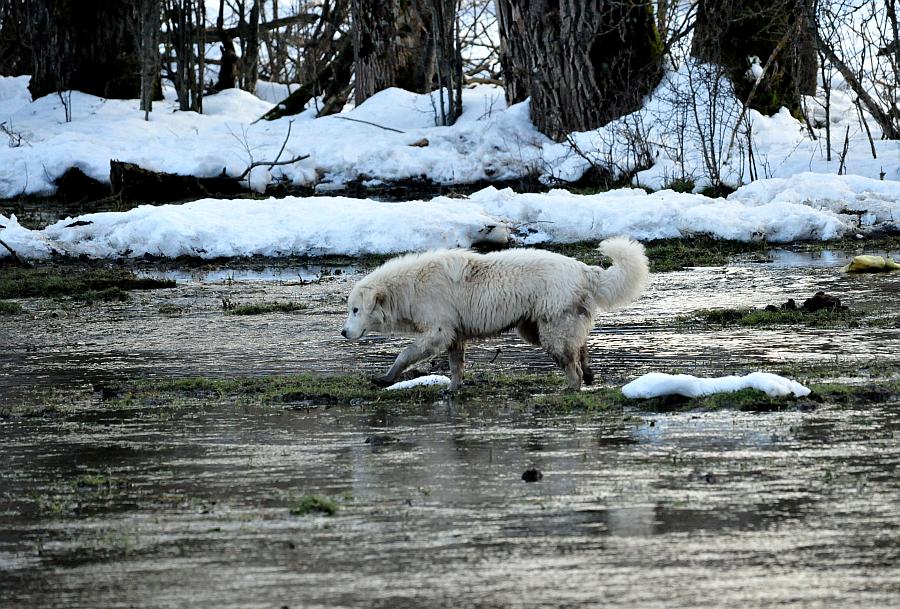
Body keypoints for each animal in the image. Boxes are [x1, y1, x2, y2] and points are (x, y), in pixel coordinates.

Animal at [342, 235, 648, 392]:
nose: (343, 332)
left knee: (570, 365)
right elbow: (456, 366)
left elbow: (405, 354)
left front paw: (386, 378)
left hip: (551, 330)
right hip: (536, 328)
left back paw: (570, 387)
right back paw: (589, 372)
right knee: (580, 346)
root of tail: (585, 269)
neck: (409, 287)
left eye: (356, 310)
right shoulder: (455, 335)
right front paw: (453, 389)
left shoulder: (438, 331)